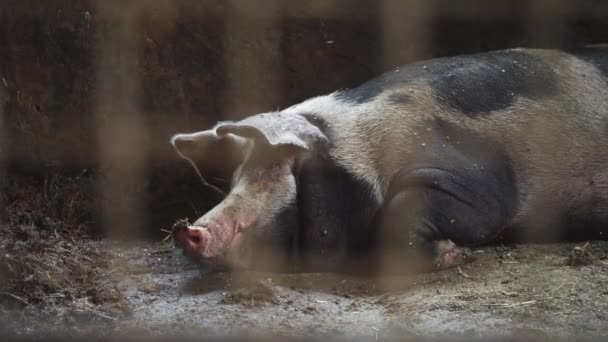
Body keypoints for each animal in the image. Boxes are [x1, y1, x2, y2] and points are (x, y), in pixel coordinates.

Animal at [170, 46, 608, 274]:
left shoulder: (472, 178)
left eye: (271, 173)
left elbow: (407, 210)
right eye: (234, 180)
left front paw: (451, 254)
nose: (189, 230)